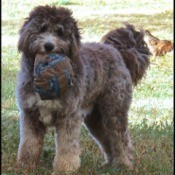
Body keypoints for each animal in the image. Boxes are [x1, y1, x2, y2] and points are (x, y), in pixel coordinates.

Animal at [15, 4, 150, 173]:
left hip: (114, 109)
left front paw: (64, 169)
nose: (49, 46)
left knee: (120, 138)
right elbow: (29, 144)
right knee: (106, 137)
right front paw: (25, 166)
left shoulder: (68, 116)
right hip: (95, 118)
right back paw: (109, 164)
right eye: (42, 28)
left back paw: (123, 163)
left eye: (60, 32)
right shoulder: (30, 114)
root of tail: (117, 51)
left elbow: (67, 146)